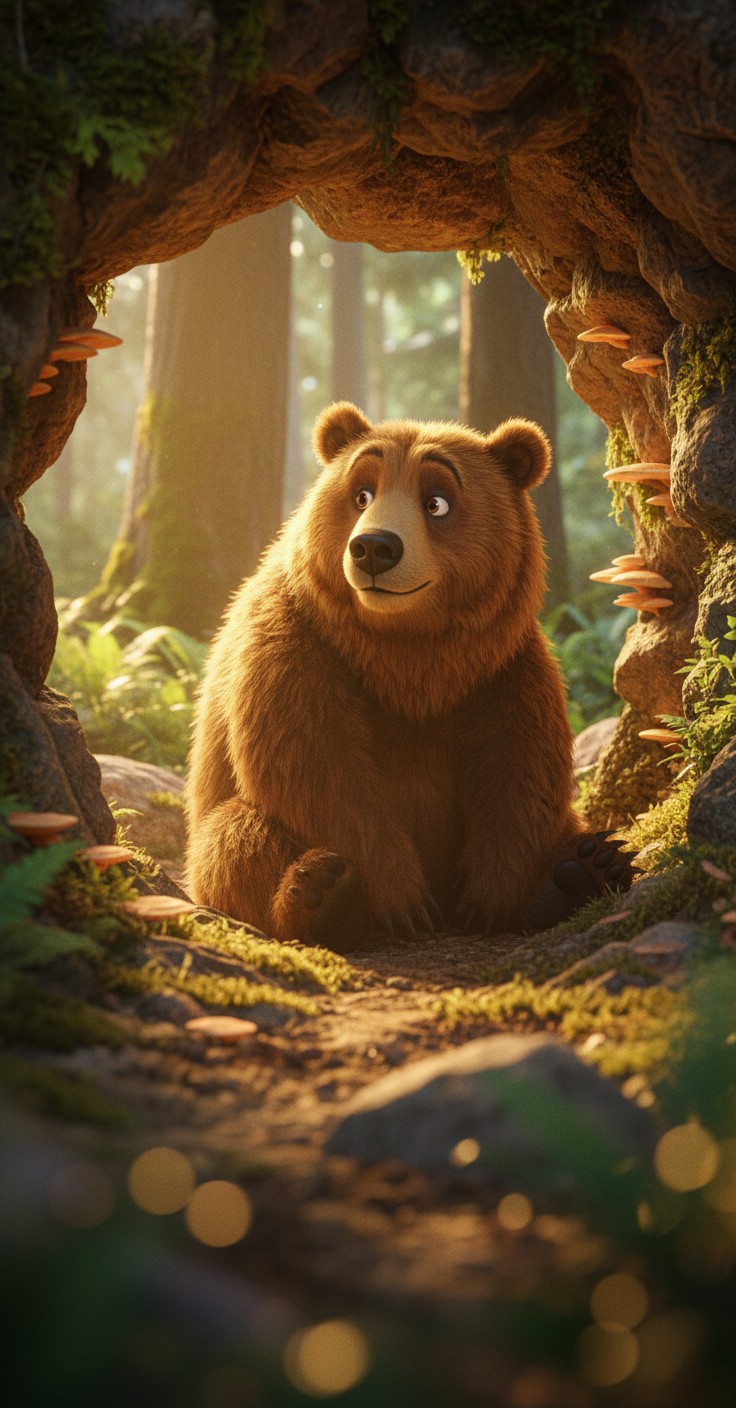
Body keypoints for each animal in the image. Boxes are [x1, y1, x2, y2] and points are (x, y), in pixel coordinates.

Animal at [186, 402, 631, 949]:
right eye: (362, 494)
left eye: (435, 502)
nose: (374, 547)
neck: (407, 652)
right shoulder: (296, 647)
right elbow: (319, 767)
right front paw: (403, 902)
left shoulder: (502, 669)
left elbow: (518, 773)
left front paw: (488, 900)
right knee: (235, 841)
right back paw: (322, 892)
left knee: (567, 826)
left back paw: (582, 871)